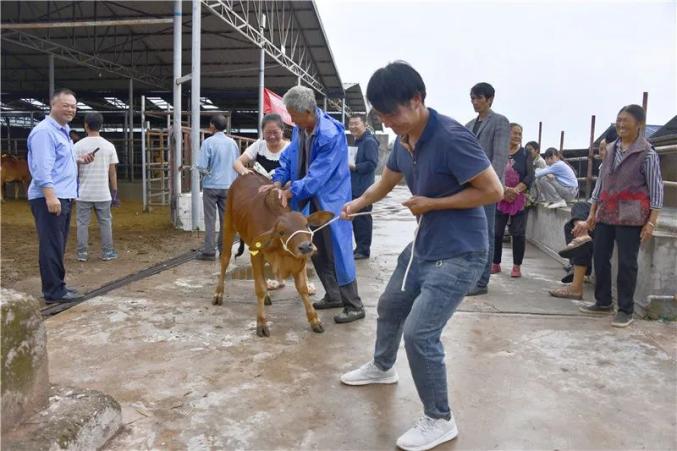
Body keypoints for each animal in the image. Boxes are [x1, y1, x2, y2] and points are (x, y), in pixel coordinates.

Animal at [209, 171, 330, 338]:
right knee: (225, 260)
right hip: (228, 224)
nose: (306, 247)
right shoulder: (256, 253)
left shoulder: (298, 262)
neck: (282, 253)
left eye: (306, 225)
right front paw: (261, 323)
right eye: (282, 232)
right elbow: (259, 287)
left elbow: (303, 288)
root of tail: (247, 173)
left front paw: (315, 320)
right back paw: (218, 294)